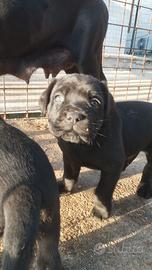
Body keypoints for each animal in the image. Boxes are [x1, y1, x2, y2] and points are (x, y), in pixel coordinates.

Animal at [39, 73, 152, 219]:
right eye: (58, 97)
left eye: (95, 102)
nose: (74, 115)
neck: (82, 145)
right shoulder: (70, 158)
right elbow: (69, 175)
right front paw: (65, 188)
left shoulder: (111, 167)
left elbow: (103, 191)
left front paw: (101, 211)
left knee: (148, 168)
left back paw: (145, 189)